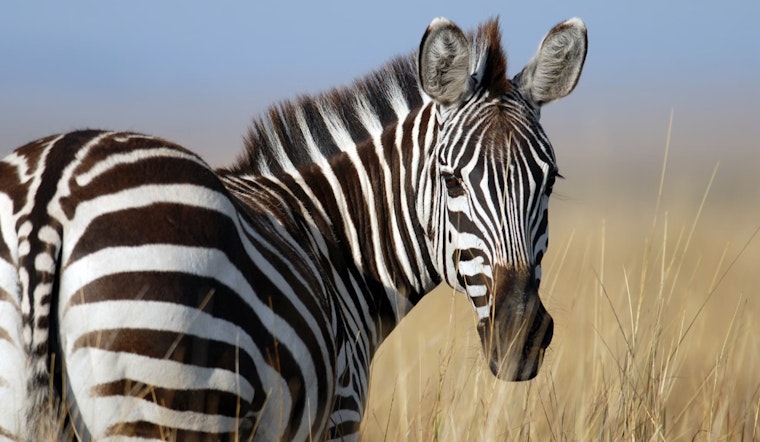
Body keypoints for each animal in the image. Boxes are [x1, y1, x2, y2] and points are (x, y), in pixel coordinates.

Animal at [0, 16, 587, 441]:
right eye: (452, 180)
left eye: (549, 181)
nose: (521, 337)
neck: (338, 241)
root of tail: (50, 194)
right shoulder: (339, 414)